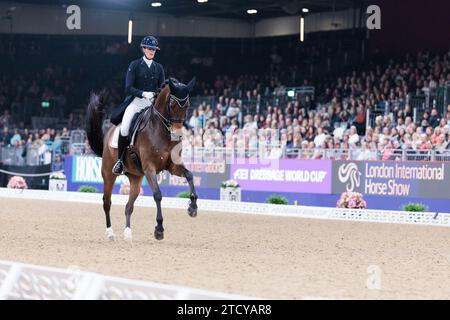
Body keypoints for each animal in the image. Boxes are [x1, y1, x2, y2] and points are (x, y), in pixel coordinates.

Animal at [85, 78, 198, 242]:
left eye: (187, 105)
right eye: (171, 104)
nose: (177, 133)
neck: (160, 130)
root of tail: (108, 134)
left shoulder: (172, 166)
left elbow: (189, 175)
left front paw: (192, 207)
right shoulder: (149, 168)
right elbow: (157, 194)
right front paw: (159, 229)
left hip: (136, 178)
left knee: (128, 206)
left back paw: (127, 234)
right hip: (108, 174)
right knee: (107, 203)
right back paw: (111, 233)